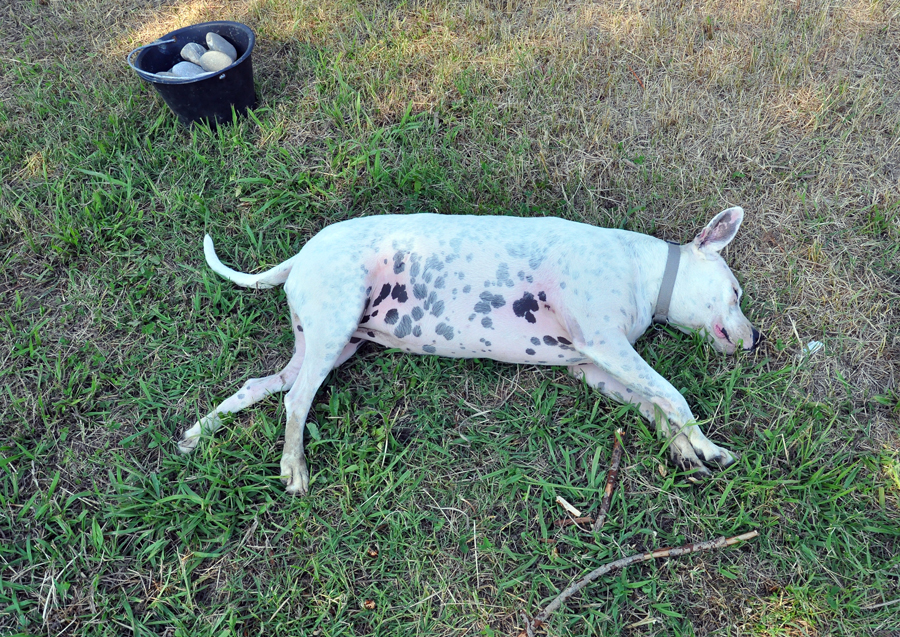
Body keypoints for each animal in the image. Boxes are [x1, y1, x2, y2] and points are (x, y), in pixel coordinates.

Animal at [180, 208, 760, 495]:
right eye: (736, 293)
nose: (755, 340)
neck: (644, 269)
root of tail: (299, 256)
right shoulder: (606, 346)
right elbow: (675, 397)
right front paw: (706, 445)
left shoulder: (594, 367)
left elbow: (654, 406)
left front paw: (684, 449)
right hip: (332, 331)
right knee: (294, 401)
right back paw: (293, 467)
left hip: (330, 343)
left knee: (259, 385)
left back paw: (197, 432)